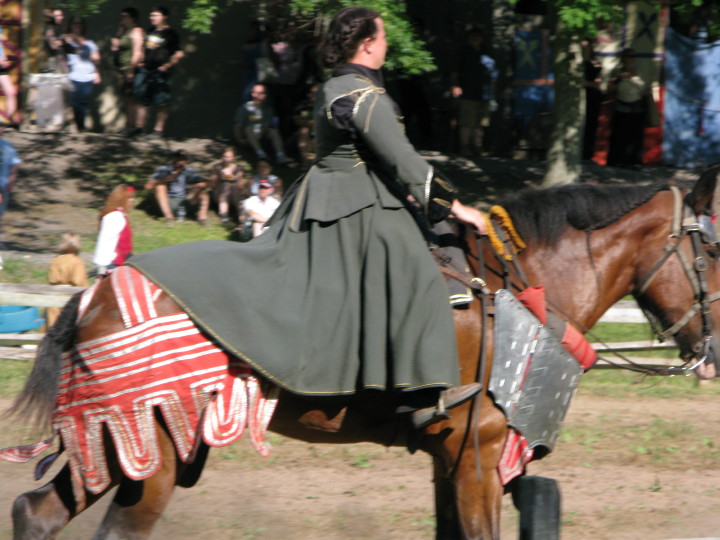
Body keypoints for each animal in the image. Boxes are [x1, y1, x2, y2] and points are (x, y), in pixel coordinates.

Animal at [5, 170, 720, 540]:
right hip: (146, 449)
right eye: (711, 249)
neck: (521, 287)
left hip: (112, 446)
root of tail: (93, 292)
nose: (711, 352)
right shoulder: (480, 460)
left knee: (35, 514)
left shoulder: (449, 462)